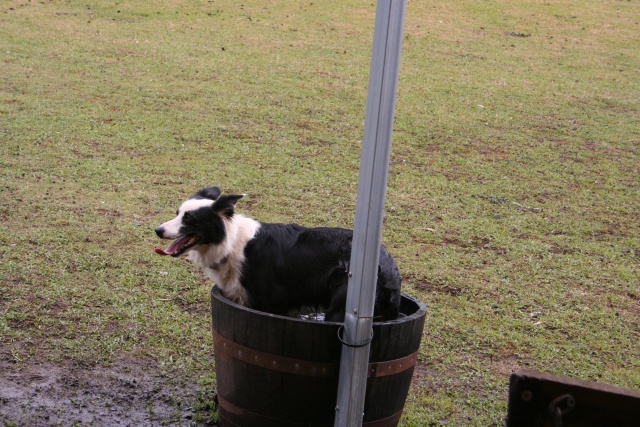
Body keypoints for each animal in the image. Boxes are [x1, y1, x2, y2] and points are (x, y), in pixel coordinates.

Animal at [154, 186, 400, 322]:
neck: (231, 242)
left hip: (341, 308)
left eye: (189, 218)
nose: (158, 230)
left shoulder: (268, 304)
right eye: (178, 213)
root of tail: (387, 262)